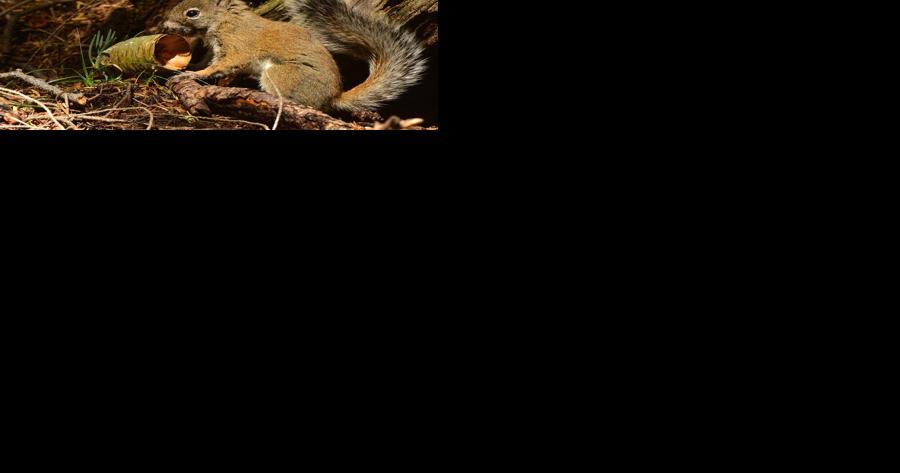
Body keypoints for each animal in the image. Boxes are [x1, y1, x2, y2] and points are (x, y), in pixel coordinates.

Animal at [161, 0, 426, 113]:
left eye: (192, 13)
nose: (164, 26)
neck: (224, 19)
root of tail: (332, 97)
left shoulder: (237, 46)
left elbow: (222, 65)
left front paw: (193, 74)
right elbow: (208, 61)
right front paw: (188, 67)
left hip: (280, 74)